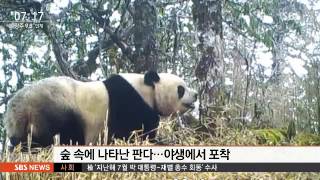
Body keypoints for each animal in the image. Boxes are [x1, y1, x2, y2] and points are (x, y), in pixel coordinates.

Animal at [3, 70, 196, 148]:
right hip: (55, 110)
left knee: (22, 144)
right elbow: (132, 133)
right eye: (181, 89)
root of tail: (18, 109)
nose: (195, 95)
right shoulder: (129, 103)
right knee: (64, 136)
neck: (146, 88)